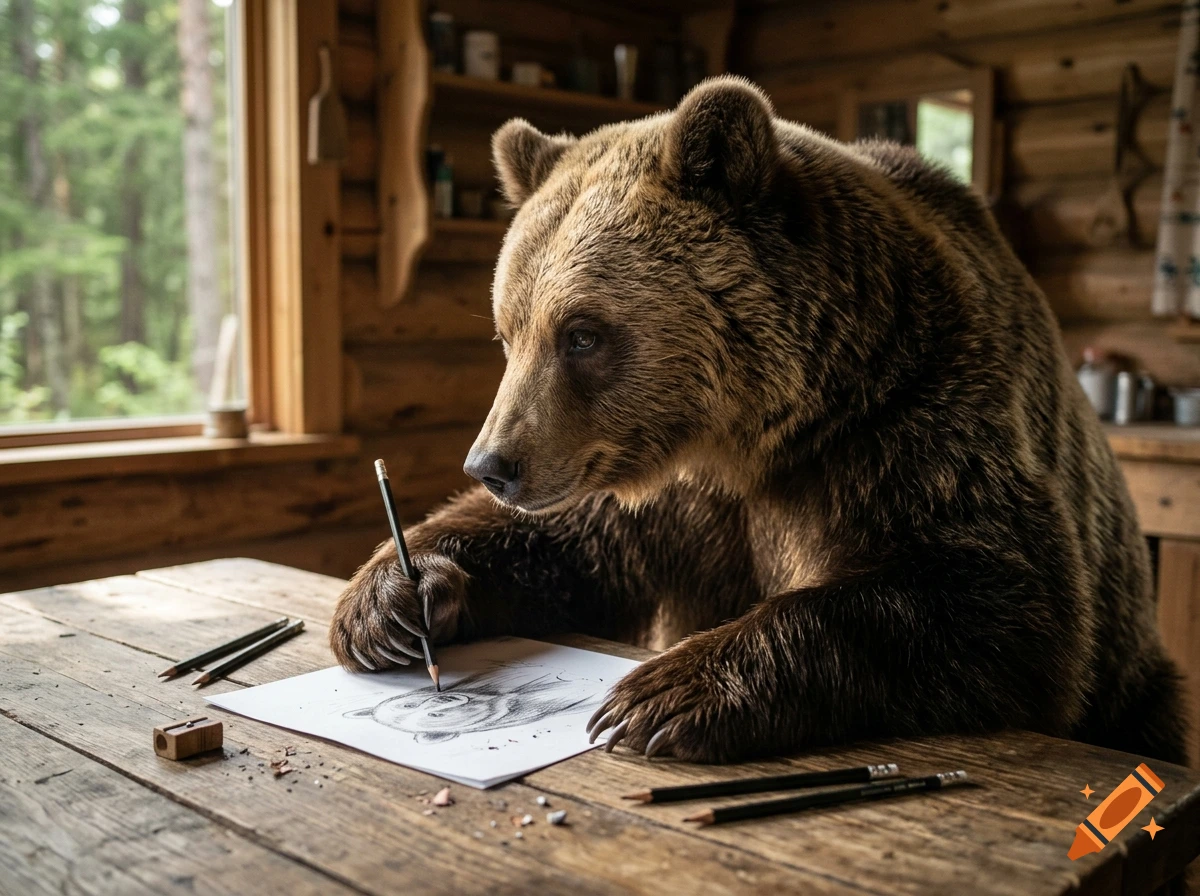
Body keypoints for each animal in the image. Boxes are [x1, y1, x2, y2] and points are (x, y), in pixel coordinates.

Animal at [330, 76, 1187, 765]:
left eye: (582, 334)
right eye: (507, 332)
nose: (493, 464)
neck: (755, 434)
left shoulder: (916, 424)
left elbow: (1001, 605)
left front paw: (659, 696)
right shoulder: (672, 495)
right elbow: (577, 547)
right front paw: (392, 598)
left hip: (1139, 678)